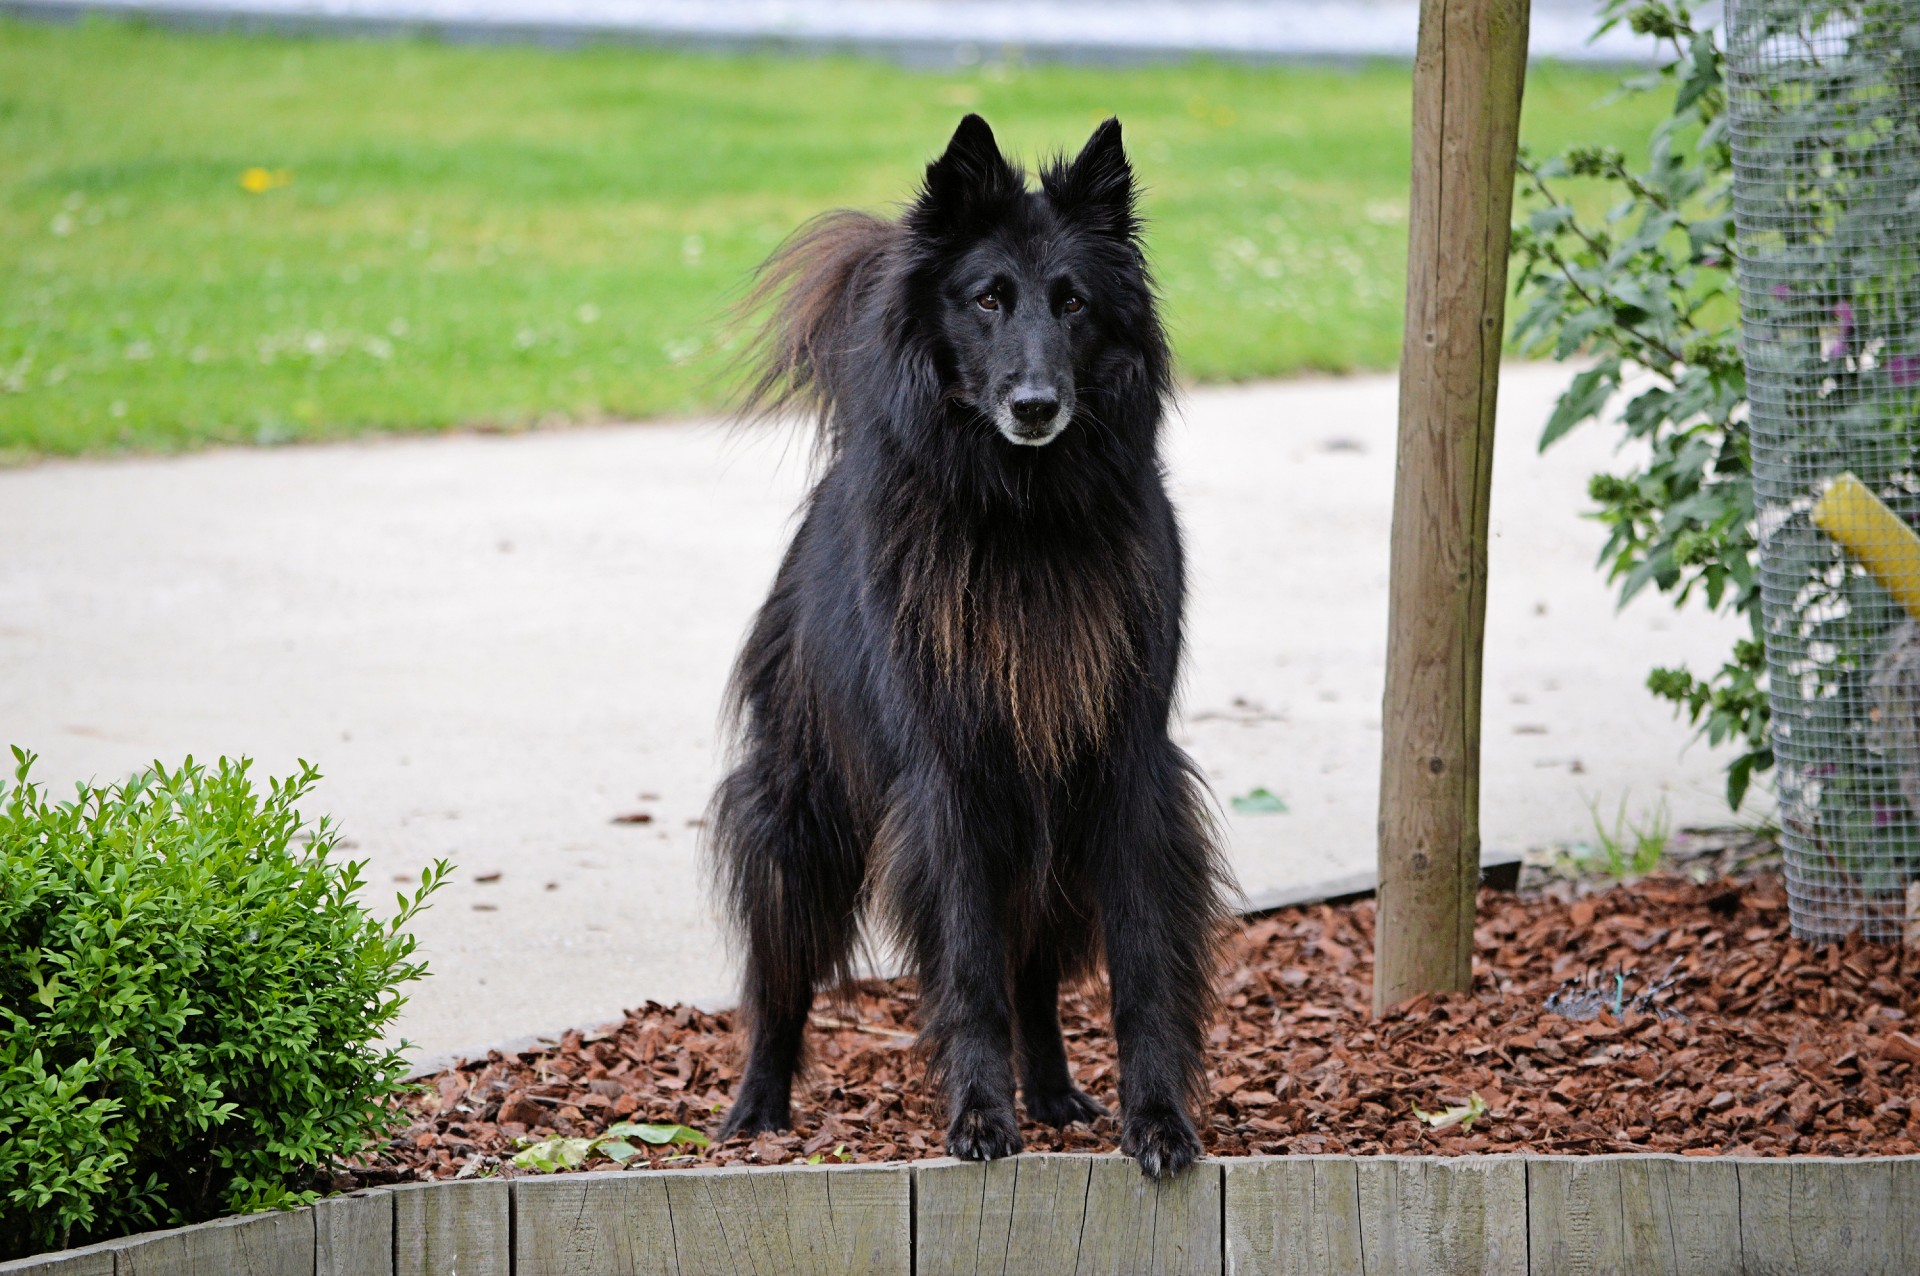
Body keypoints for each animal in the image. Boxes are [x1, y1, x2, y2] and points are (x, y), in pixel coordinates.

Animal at [710, 111, 1228, 1174]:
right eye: (988, 298)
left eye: (1073, 302)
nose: (1035, 405)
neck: (1024, 521)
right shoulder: (951, 787)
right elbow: (970, 971)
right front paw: (982, 1118)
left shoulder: (1124, 774)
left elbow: (1141, 968)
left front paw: (1156, 1121)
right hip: (805, 815)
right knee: (781, 974)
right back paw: (758, 1111)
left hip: (1049, 841)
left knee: (1035, 974)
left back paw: (1057, 1092)